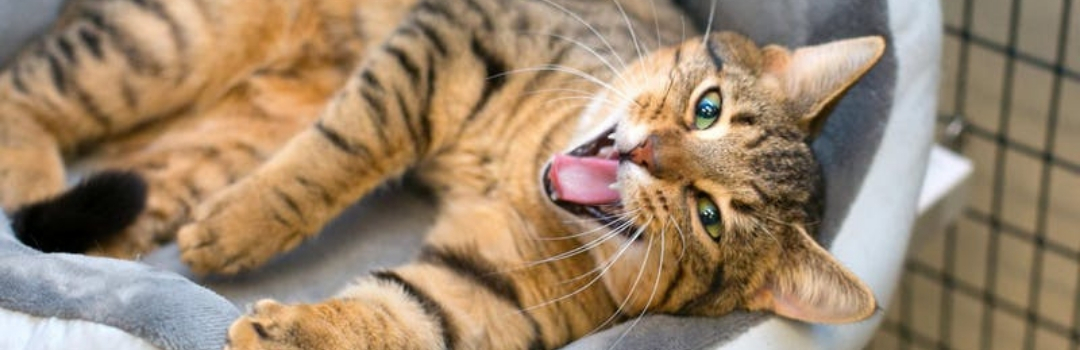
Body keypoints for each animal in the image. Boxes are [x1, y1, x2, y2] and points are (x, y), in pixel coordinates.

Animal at [2, 0, 885, 347]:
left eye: (709, 217)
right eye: (707, 109)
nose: (647, 155)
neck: (522, 166)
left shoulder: (484, 294)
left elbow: (395, 312)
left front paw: (287, 329)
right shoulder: (445, 43)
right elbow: (344, 148)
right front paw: (245, 223)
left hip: (215, 131)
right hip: (165, 39)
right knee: (25, 87)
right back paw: (33, 187)